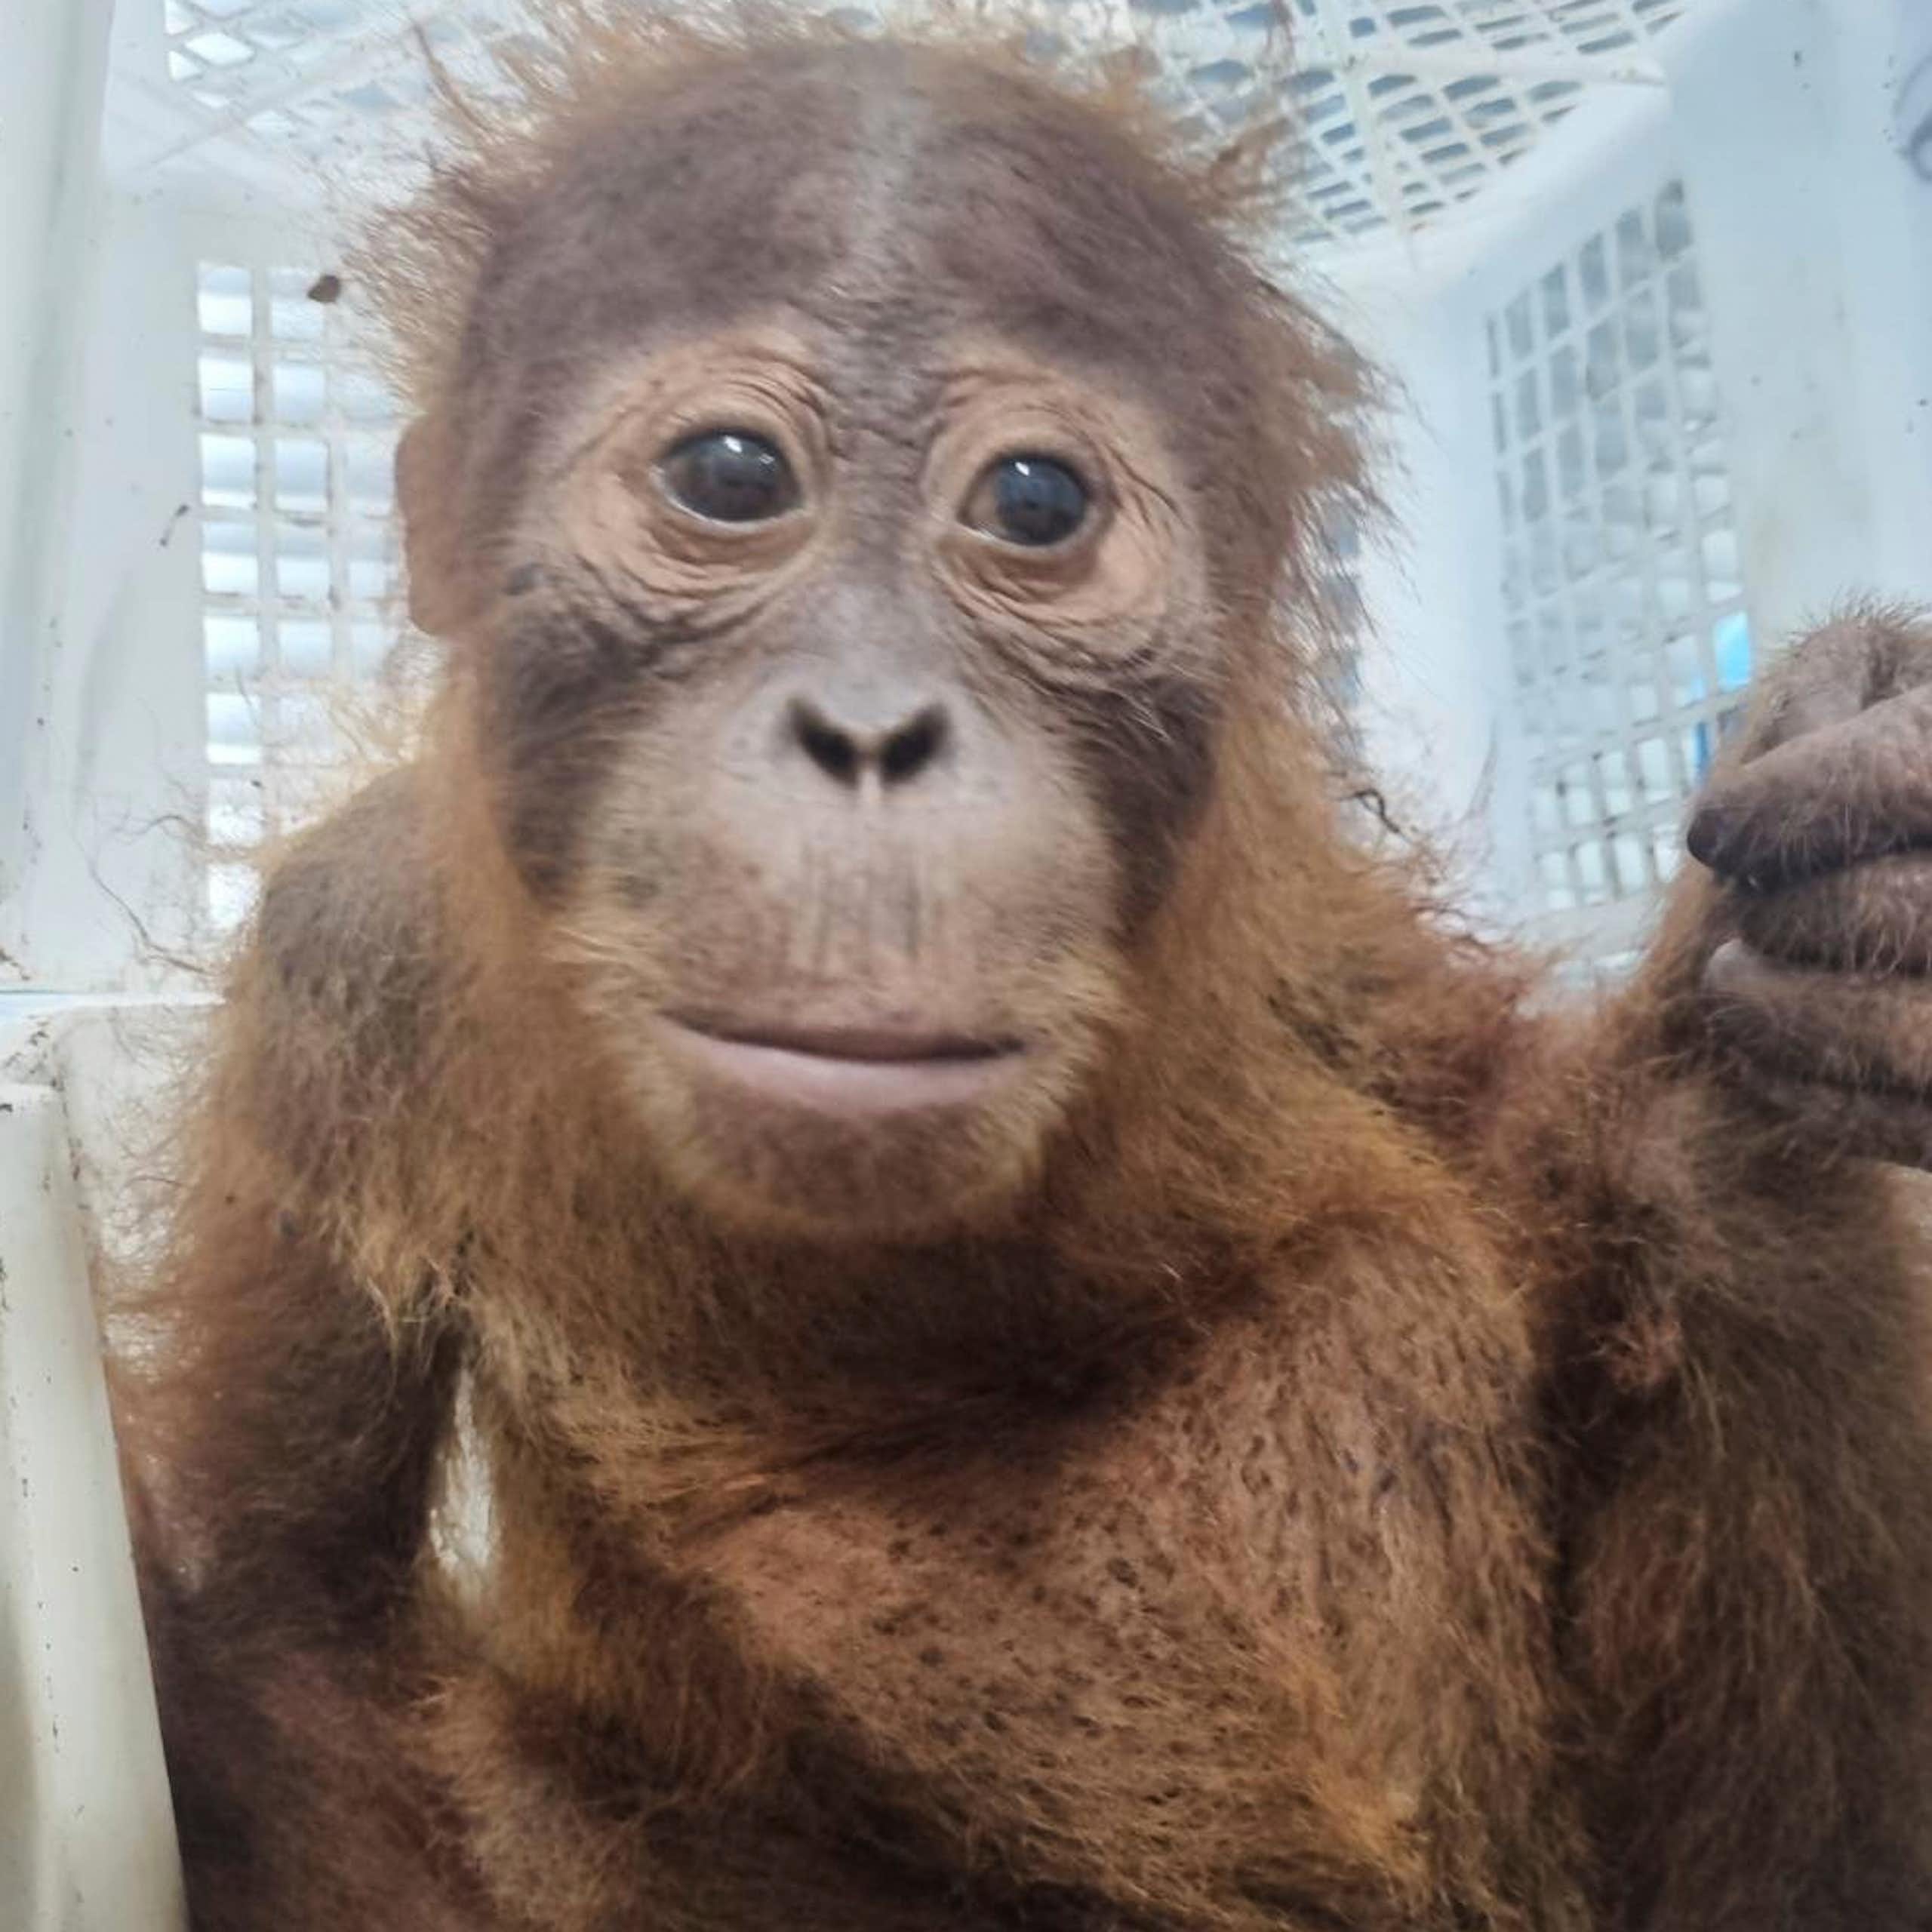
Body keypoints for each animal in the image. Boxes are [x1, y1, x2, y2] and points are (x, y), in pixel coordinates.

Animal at [109, 14, 1932, 1932]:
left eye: (1034, 505)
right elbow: (281, 1592)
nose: (868, 731)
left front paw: (1853, 876)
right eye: (730, 479)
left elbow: (1496, 1141)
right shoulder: (341, 954)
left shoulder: (1298, 914)